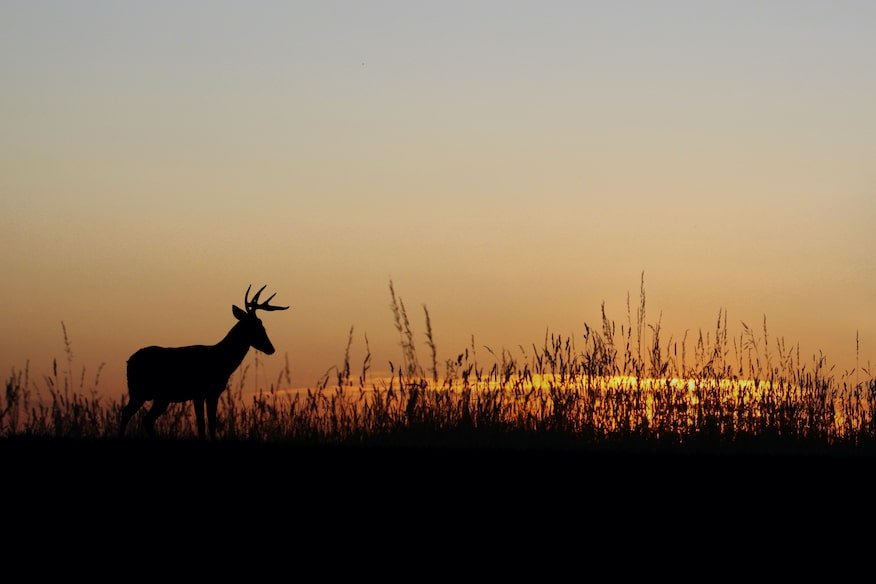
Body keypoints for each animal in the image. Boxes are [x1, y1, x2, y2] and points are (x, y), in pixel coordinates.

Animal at [120, 286, 290, 440]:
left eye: (262, 325)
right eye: (255, 326)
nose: (271, 348)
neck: (221, 360)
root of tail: (129, 360)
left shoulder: (213, 393)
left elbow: (212, 423)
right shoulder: (199, 392)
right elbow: (202, 424)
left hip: (160, 397)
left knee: (146, 419)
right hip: (139, 390)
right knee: (126, 413)